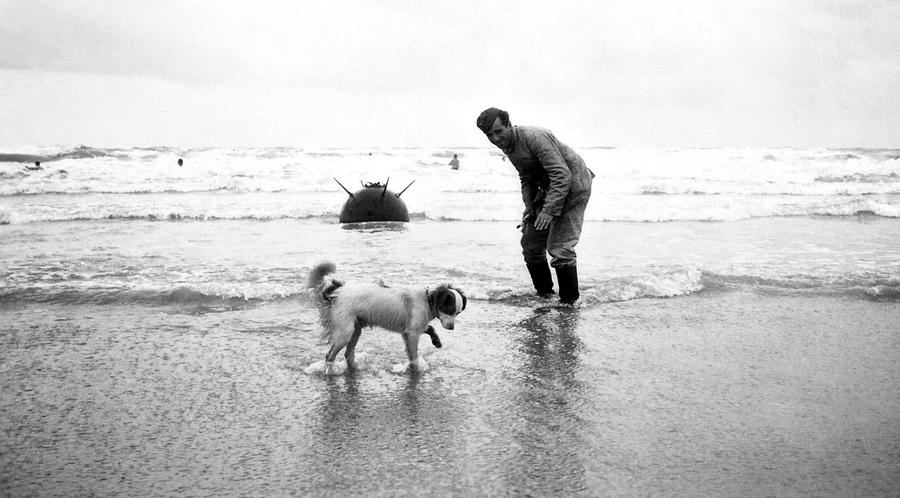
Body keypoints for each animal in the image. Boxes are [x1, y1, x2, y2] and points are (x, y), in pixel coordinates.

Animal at [308, 260, 468, 374]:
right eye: (449, 310)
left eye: (458, 313)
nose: (452, 327)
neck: (427, 300)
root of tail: (338, 291)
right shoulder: (412, 334)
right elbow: (413, 356)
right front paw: (416, 370)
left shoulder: (413, 328)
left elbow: (429, 328)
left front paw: (436, 341)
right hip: (345, 332)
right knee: (330, 355)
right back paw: (330, 372)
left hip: (356, 330)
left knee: (348, 354)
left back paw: (356, 368)